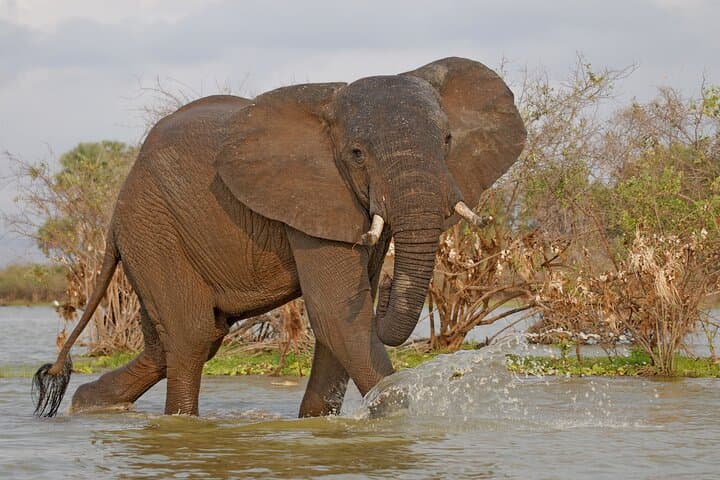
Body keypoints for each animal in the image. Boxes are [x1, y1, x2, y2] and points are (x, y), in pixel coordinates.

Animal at [32, 57, 525, 418]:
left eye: (447, 141)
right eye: (356, 154)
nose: (387, 287)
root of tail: (118, 206)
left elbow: (342, 321)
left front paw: (318, 426)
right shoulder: (313, 193)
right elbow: (338, 314)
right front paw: (395, 417)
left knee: (181, 340)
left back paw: (89, 405)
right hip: (151, 225)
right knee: (192, 334)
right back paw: (174, 422)